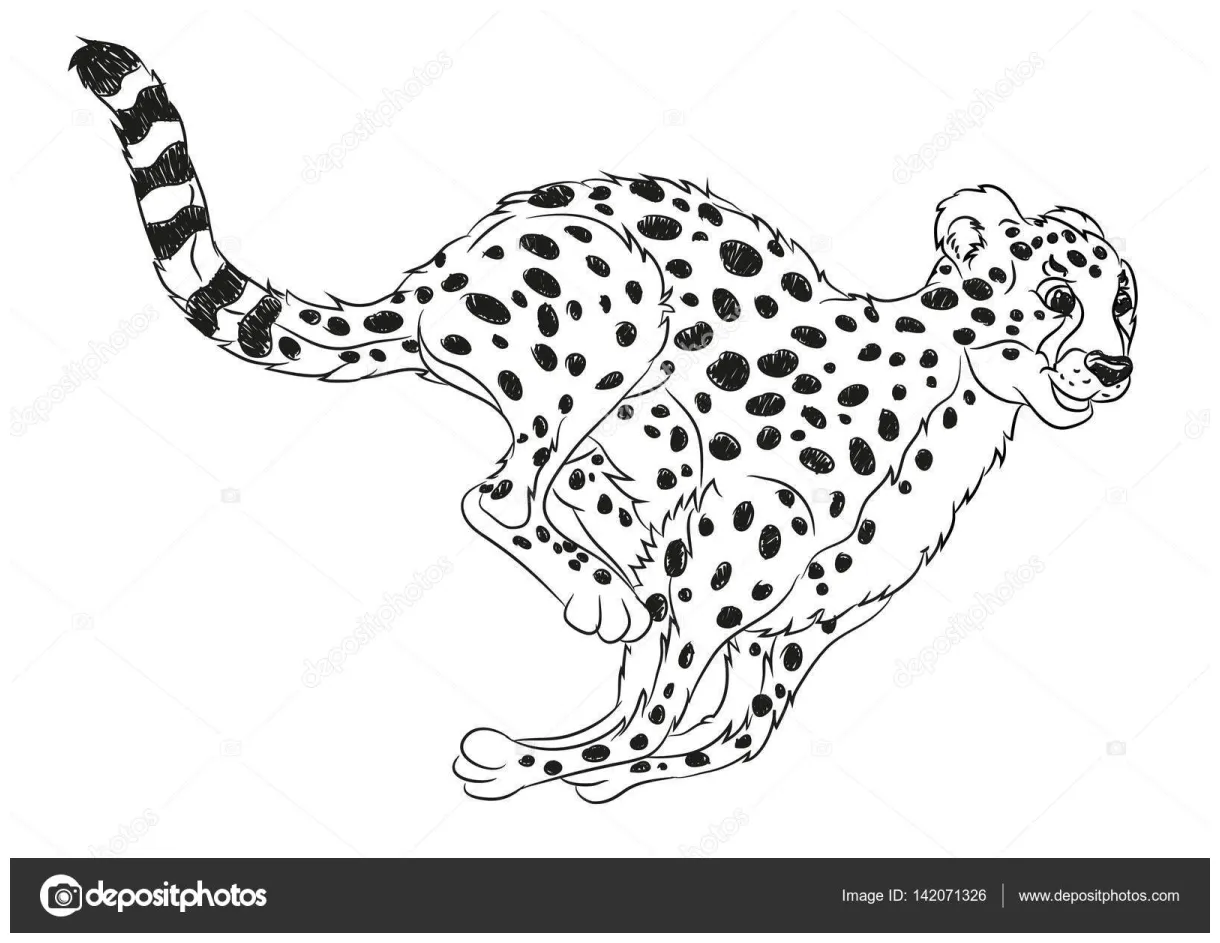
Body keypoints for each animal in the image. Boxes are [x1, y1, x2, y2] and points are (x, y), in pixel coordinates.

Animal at [73, 39, 1137, 802]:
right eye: (1055, 296)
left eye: (1124, 304)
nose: (1115, 367)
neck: (955, 402)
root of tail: (438, 274)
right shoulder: (741, 540)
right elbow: (655, 713)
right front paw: (525, 762)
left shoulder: (788, 634)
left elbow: (720, 735)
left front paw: (597, 767)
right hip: (618, 300)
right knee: (502, 495)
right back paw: (603, 588)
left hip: (635, 429)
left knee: (574, 494)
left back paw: (611, 580)